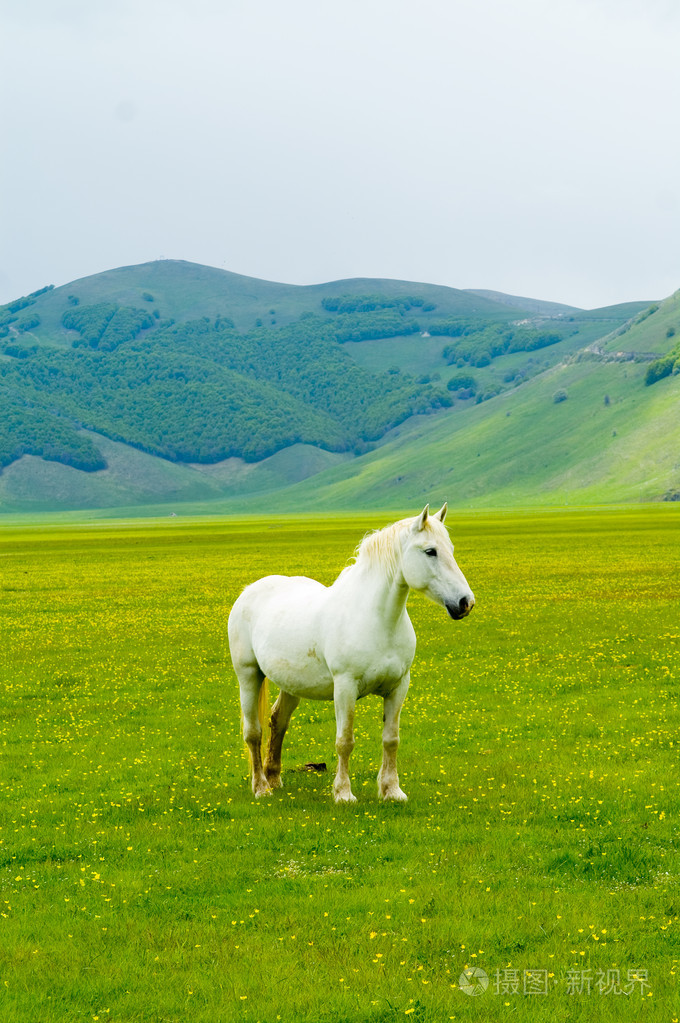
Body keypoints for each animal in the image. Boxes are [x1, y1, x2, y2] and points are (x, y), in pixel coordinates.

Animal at [228, 504, 475, 803]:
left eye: (450, 548)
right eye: (430, 551)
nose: (465, 602)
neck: (378, 620)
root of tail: (249, 591)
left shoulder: (399, 687)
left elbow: (391, 739)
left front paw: (392, 790)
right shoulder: (345, 687)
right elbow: (345, 741)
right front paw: (343, 793)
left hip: (291, 684)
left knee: (278, 721)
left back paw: (274, 778)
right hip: (248, 675)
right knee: (253, 732)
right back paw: (261, 787)